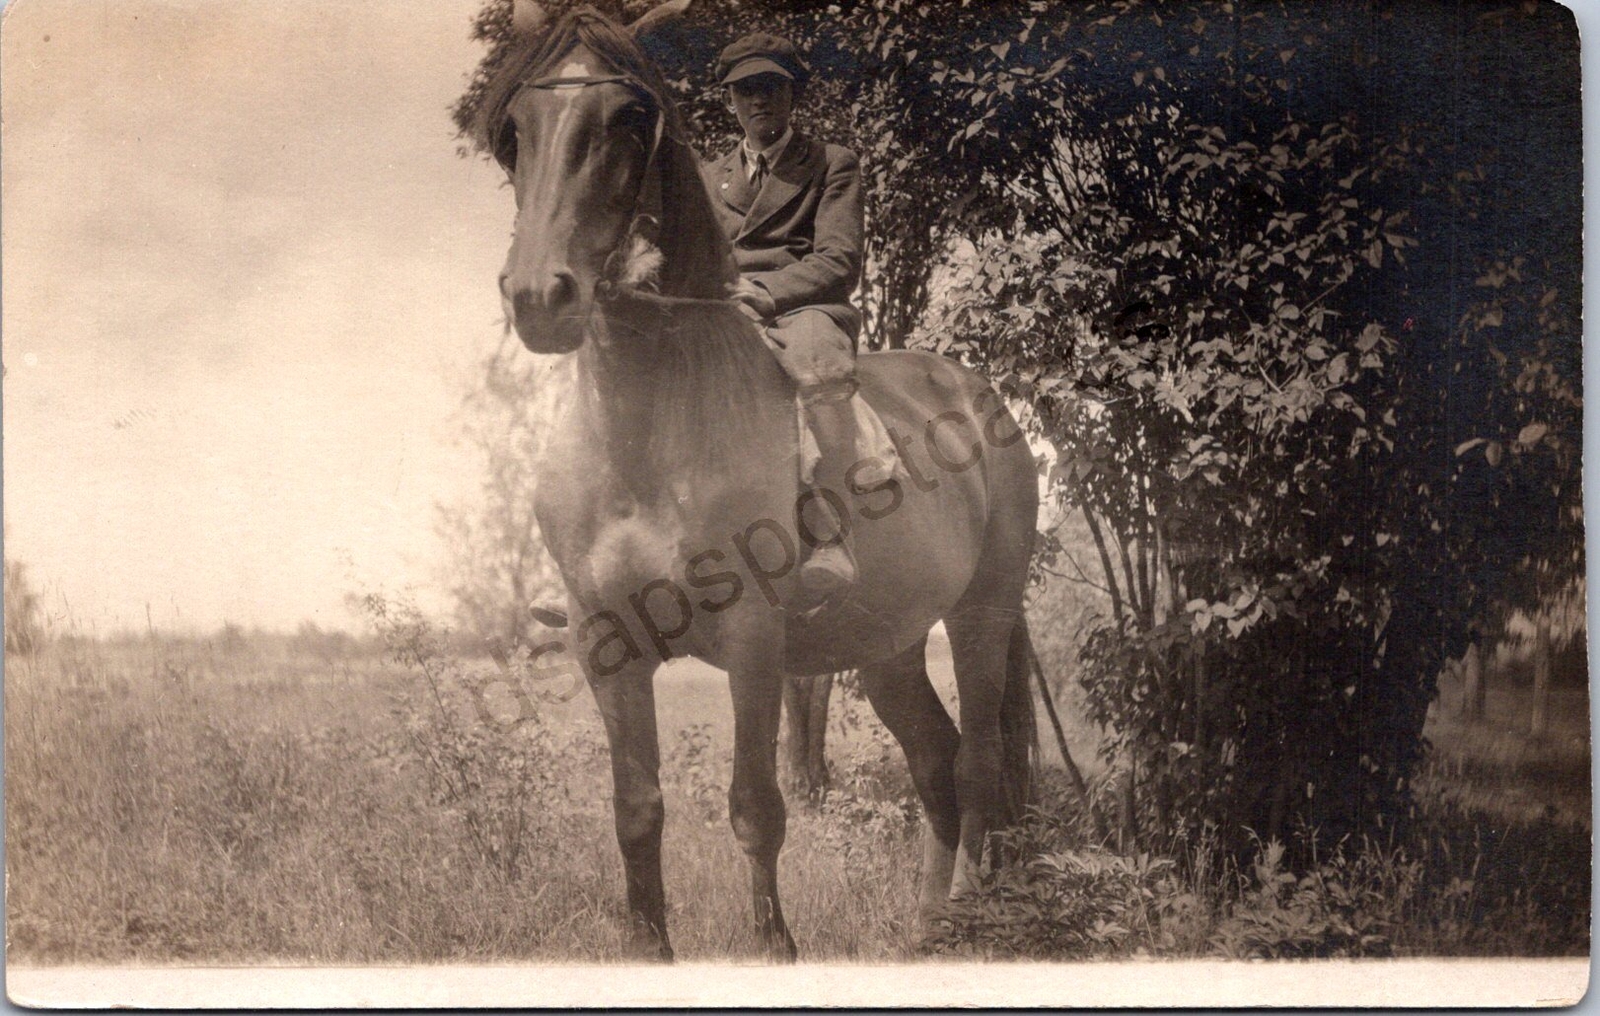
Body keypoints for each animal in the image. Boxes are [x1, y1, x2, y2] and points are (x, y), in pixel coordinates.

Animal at [479, 2, 1042, 961]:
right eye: (516, 127)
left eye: (628, 117)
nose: (539, 298)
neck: (647, 427)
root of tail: (979, 395)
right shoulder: (605, 645)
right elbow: (636, 808)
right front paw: (648, 950)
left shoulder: (751, 640)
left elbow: (755, 807)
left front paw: (774, 947)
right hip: (888, 642)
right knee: (934, 757)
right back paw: (927, 924)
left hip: (981, 613)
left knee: (977, 762)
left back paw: (964, 918)